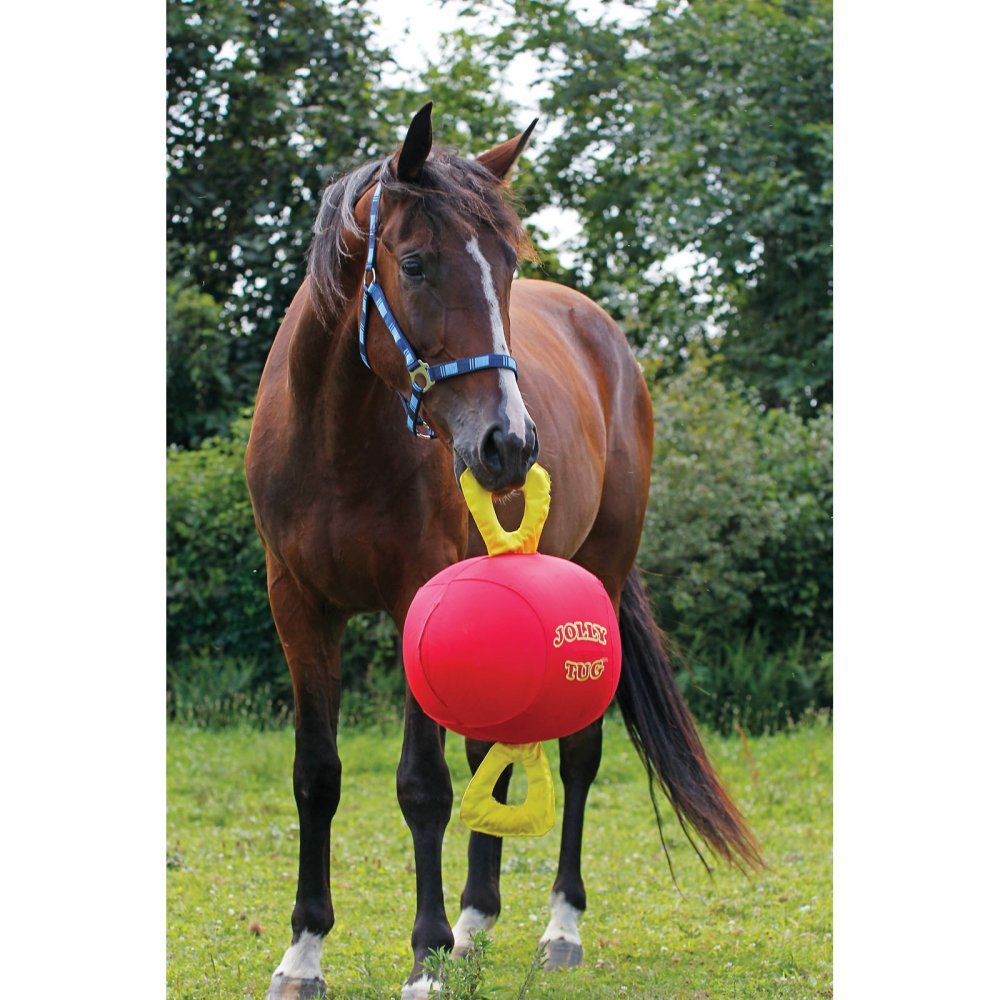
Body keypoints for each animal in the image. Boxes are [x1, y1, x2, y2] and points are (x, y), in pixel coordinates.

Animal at [245, 102, 761, 1000]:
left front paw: (422, 959)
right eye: (416, 263)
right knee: (497, 746)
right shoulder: (298, 608)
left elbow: (423, 784)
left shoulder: (416, 598)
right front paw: (304, 953)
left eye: (509, 267)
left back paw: (558, 929)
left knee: (579, 753)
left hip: (600, 576)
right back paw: (475, 924)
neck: (336, 438)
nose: (509, 445)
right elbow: (317, 776)